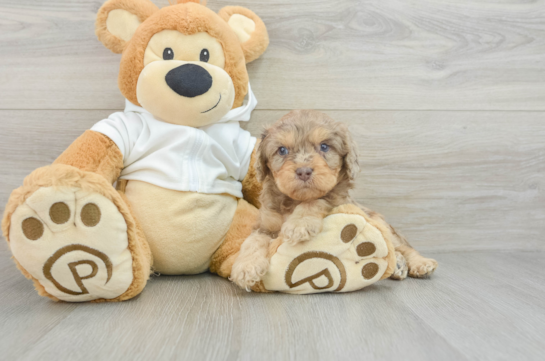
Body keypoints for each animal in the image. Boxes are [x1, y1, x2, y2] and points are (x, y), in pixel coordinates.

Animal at [231, 109, 438, 290]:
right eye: (282, 150)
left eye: (324, 146)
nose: (304, 171)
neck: (294, 201)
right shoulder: (264, 225)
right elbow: (252, 241)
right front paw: (245, 268)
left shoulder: (337, 199)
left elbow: (316, 200)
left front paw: (299, 224)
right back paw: (398, 266)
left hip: (381, 224)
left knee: (402, 247)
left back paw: (420, 263)